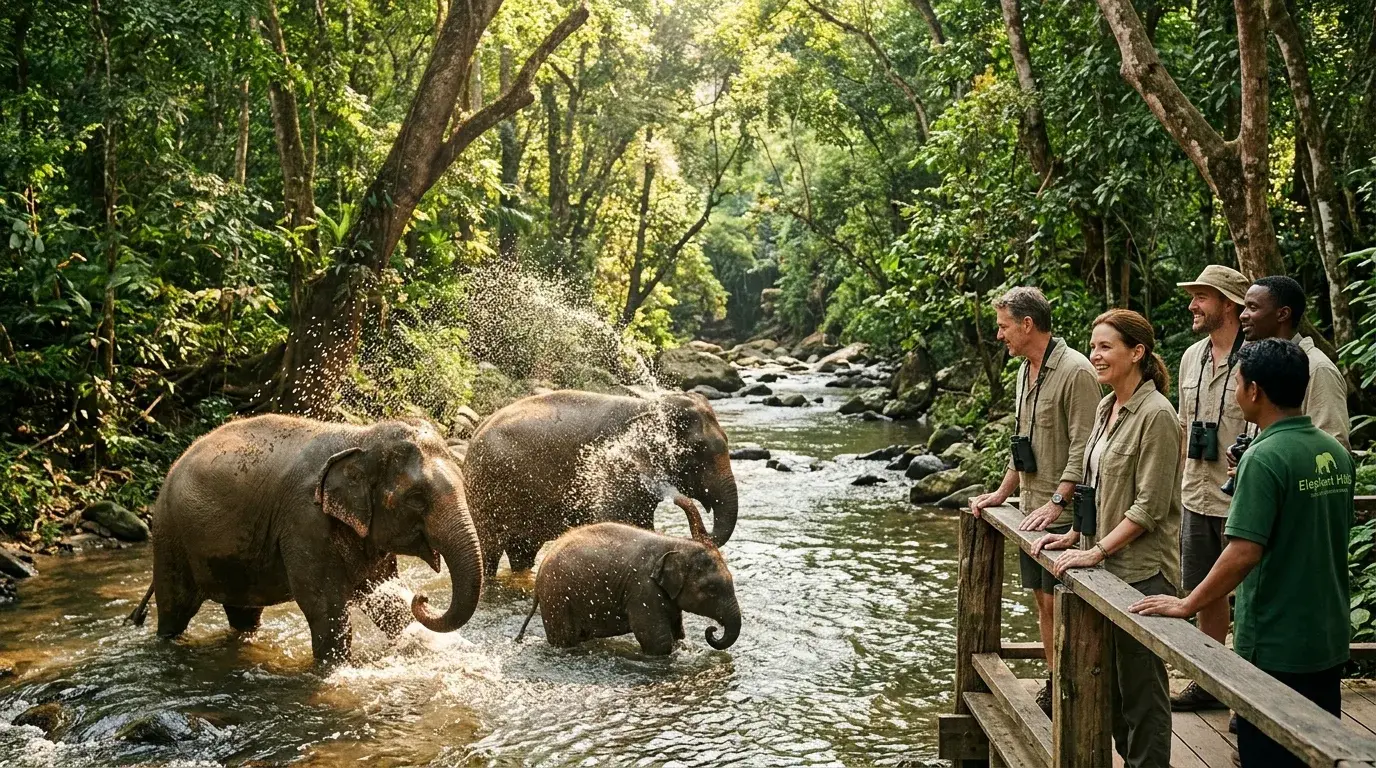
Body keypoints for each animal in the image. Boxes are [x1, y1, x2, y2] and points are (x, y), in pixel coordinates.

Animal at [126, 414, 485, 663]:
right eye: (416, 499)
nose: (422, 597)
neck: (361, 436)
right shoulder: (304, 521)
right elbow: (325, 607)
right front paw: (334, 669)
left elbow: (387, 598)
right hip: (170, 538)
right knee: (175, 610)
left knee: (244, 614)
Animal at [463, 390, 738, 578]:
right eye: (698, 449)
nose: (681, 498)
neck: (647, 405)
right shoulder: (613, 471)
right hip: (483, 493)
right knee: (489, 552)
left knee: (522, 551)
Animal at [514, 517, 741, 655]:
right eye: (711, 589)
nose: (712, 630)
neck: (676, 544)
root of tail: (539, 576)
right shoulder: (643, 591)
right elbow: (657, 641)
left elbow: (677, 633)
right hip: (557, 599)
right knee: (564, 639)